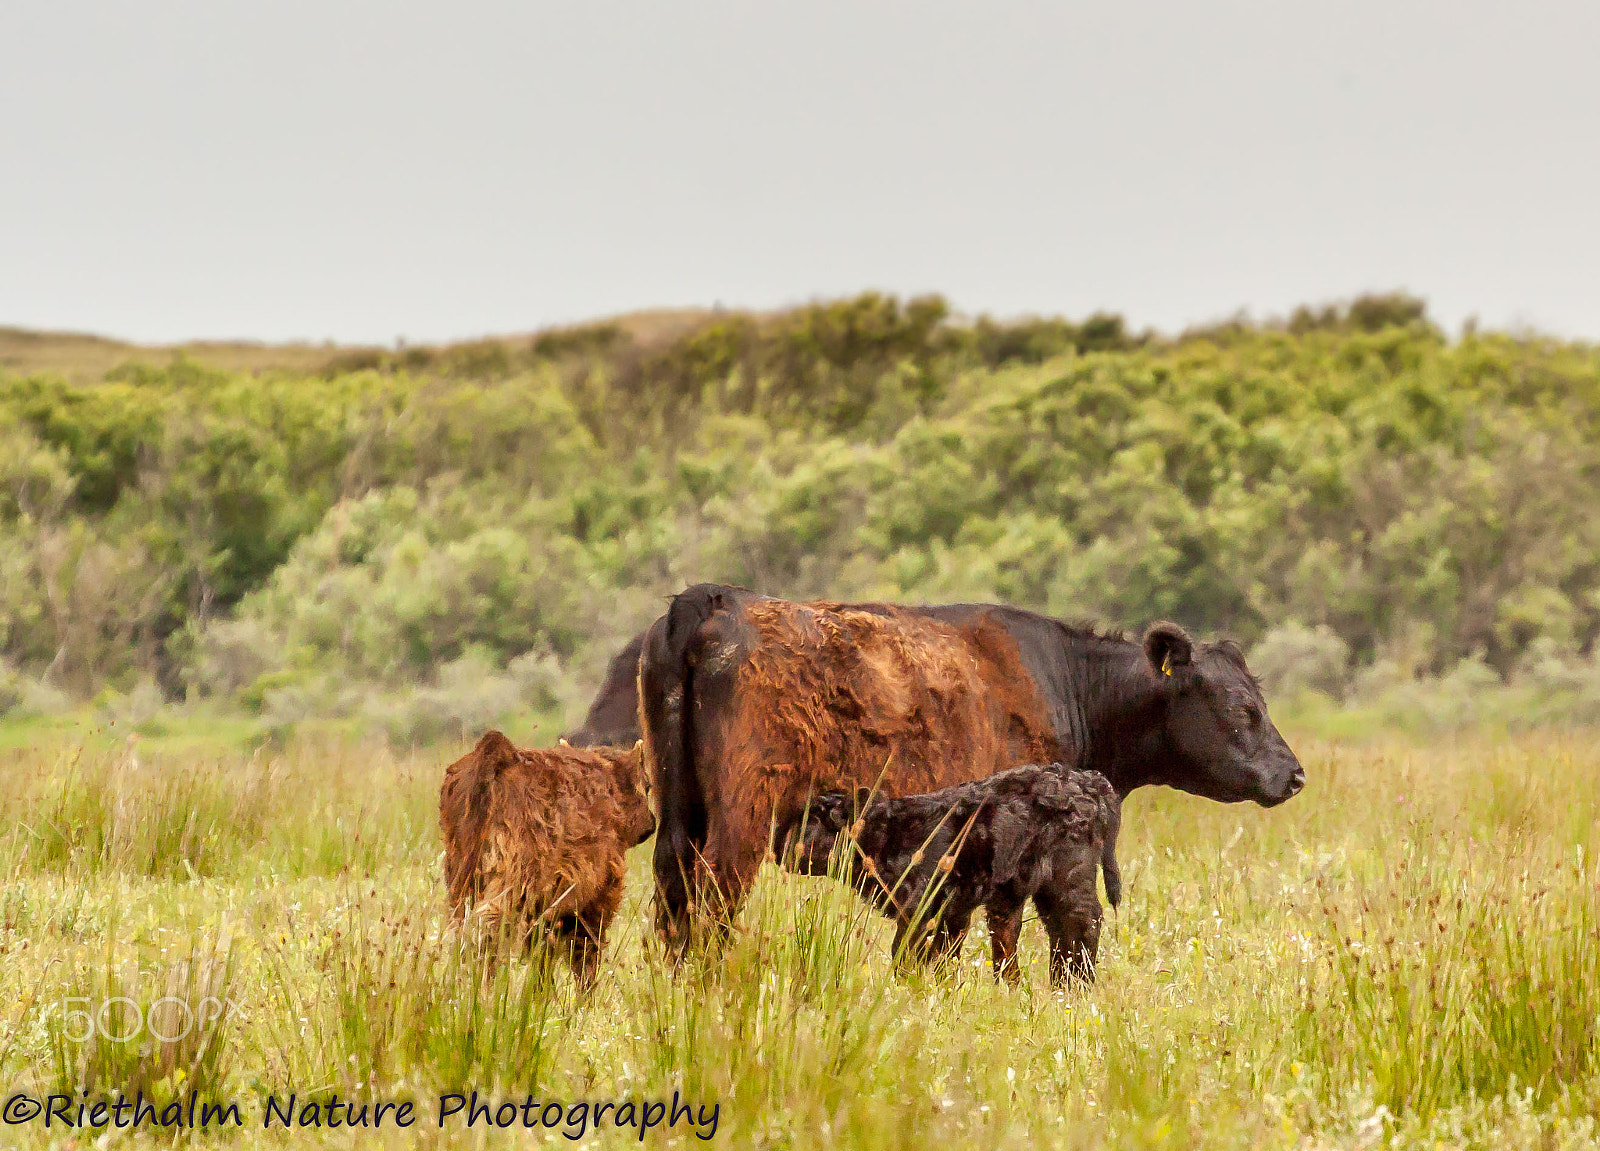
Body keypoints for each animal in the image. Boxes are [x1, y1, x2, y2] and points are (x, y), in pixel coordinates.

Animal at [441, 733, 652, 986]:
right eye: (648, 786)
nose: (652, 822)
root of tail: (500, 753)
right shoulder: (596, 899)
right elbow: (584, 955)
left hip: (461, 883)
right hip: (514, 885)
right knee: (487, 930)